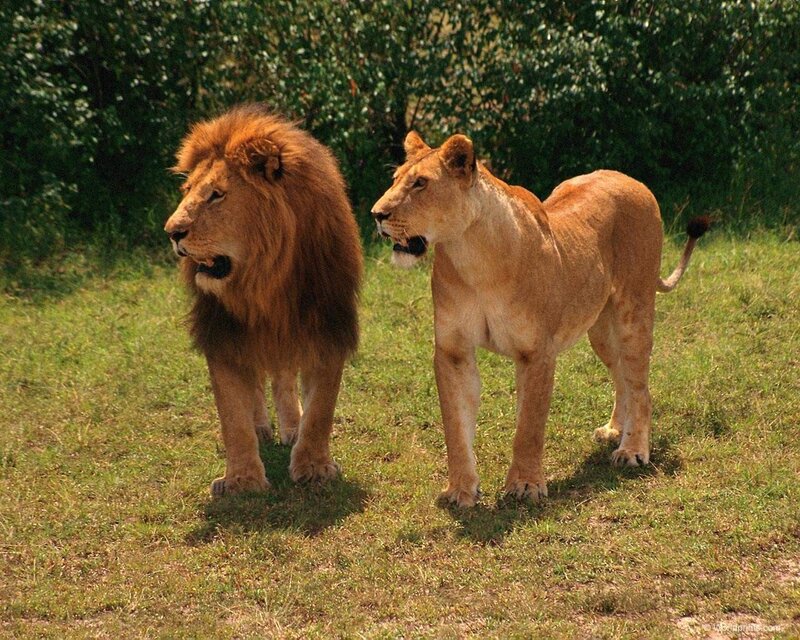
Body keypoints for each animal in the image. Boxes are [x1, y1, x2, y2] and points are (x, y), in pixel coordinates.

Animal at [164, 105, 362, 497]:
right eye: (188, 190)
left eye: (217, 195)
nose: (172, 232)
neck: (265, 282)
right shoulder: (222, 334)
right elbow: (232, 414)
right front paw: (242, 479)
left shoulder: (329, 328)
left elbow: (321, 409)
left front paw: (313, 467)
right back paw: (261, 427)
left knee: (283, 376)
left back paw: (291, 427)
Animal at [371, 131, 709, 507]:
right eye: (395, 179)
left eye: (420, 183)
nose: (376, 214)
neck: (472, 257)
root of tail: (630, 179)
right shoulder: (452, 352)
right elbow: (456, 428)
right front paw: (460, 490)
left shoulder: (537, 352)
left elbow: (529, 426)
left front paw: (525, 485)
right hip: (599, 330)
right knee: (622, 375)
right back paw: (615, 431)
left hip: (633, 313)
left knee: (641, 387)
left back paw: (632, 450)